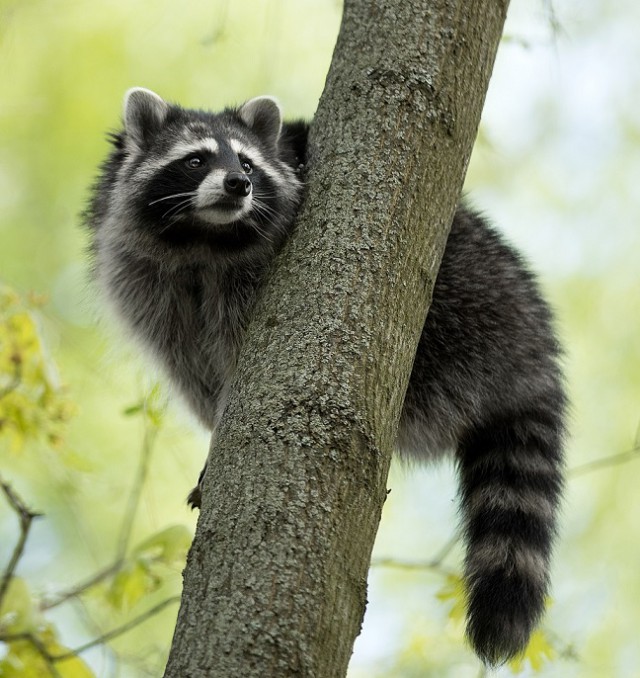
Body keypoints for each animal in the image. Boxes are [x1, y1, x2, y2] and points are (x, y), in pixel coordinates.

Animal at [84, 87, 564, 668]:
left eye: (247, 163)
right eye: (196, 160)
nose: (238, 184)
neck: (204, 240)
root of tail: (531, 342)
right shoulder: (146, 286)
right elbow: (196, 370)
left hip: (460, 299)